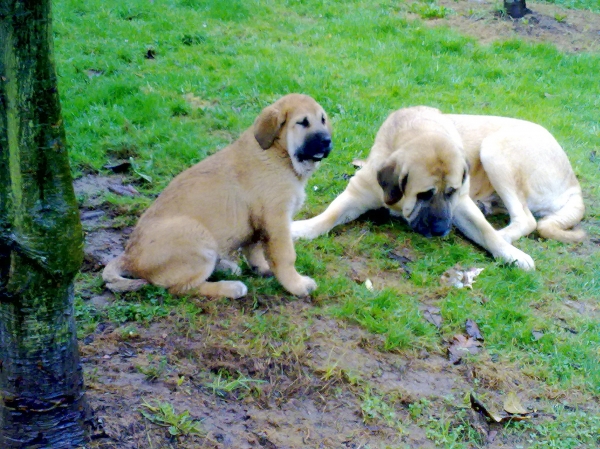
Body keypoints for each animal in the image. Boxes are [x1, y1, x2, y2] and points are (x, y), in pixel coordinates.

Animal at [103, 94, 332, 298]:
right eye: (302, 122)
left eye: (322, 119)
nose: (328, 141)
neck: (279, 154)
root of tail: (129, 258)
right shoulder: (276, 219)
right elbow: (285, 256)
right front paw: (297, 285)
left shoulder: (257, 222)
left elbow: (254, 249)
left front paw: (262, 269)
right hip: (197, 238)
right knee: (180, 288)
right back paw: (230, 287)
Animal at [292, 105, 584, 270]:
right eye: (424, 194)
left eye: (451, 192)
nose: (443, 229)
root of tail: (574, 184)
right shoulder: (358, 192)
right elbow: (328, 216)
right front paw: (300, 229)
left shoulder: (461, 204)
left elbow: (486, 233)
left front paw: (511, 255)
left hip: (494, 148)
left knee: (525, 219)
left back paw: (504, 236)